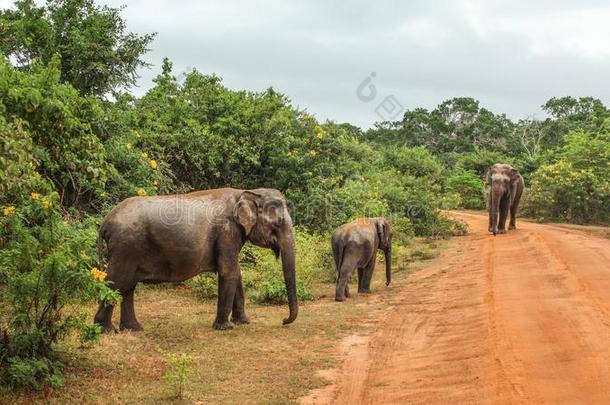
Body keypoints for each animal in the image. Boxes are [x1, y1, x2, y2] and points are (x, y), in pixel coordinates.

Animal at [92, 188, 296, 330]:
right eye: (278, 223)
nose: (283, 320)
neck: (247, 192)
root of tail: (105, 222)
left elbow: (236, 273)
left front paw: (243, 322)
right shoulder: (227, 231)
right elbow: (228, 271)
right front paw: (225, 328)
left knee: (127, 286)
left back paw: (133, 329)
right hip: (126, 246)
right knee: (117, 282)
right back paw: (105, 330)